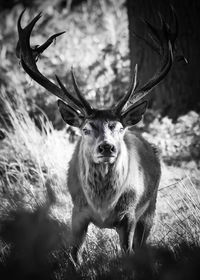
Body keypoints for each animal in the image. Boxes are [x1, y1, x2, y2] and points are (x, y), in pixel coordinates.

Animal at [16, 8, 181, 262]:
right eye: (86, 128)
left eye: (119, 128)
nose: (107, 147)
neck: (102, 207)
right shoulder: (77, 212)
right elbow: (74, 255)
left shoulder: (130, 215)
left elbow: (128, 253)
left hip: (151, 206)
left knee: (142, 244)